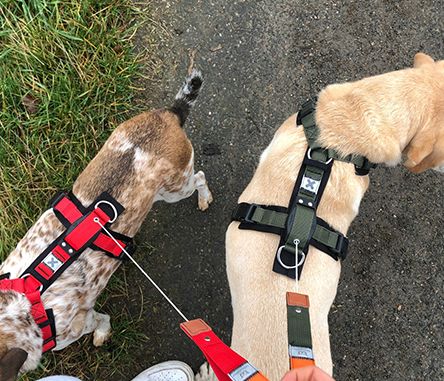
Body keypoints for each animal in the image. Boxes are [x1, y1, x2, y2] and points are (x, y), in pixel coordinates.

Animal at [0, 69, 212, 378]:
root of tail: (170, 114)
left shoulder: (79, 323)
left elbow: (101, 322)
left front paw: (102, 334)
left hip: (175, 189)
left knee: (200, 178)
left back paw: (205, 198)